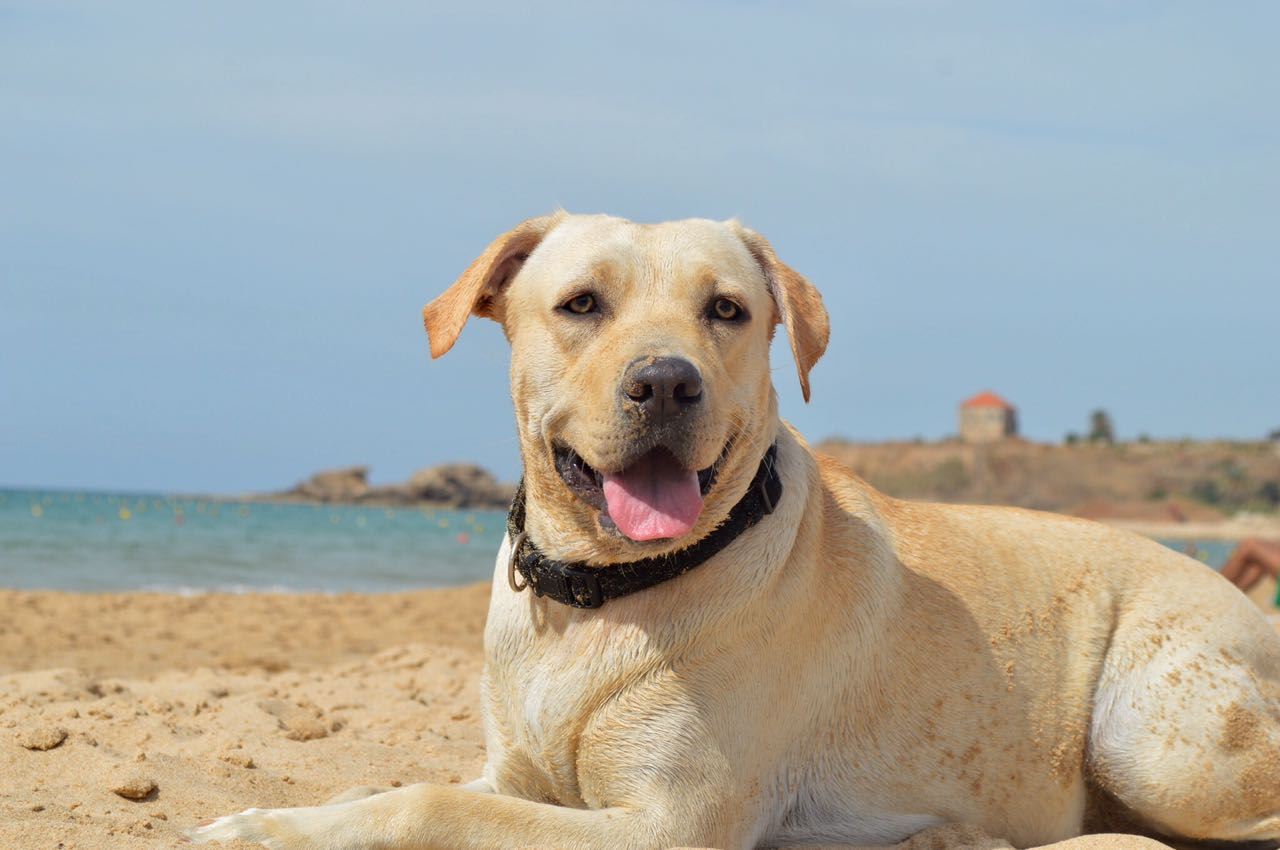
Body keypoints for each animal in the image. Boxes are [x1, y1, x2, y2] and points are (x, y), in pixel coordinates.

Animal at [189, 213, 1280, 850]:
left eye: (727, 310)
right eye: (580, 303)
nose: (668, 382)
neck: (594, 593)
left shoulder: (669, 823)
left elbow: (430, 805)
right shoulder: (511, 771)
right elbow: (392, 791)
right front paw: (261, 821)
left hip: (1153, 739)